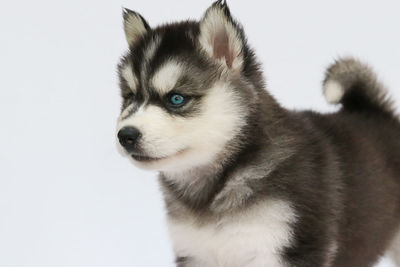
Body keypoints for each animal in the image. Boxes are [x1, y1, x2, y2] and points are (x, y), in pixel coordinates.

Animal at [115, 1, 400, 266]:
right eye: (130, 96)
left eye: (176, 98)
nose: (125, 136)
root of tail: (374, 111)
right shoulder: (195, 252)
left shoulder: (287, 250)